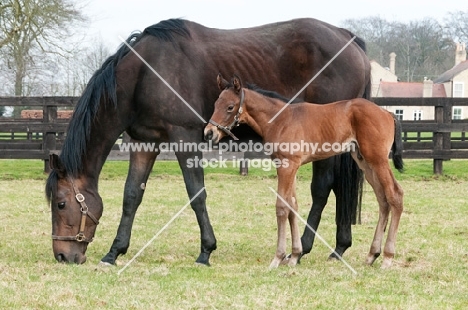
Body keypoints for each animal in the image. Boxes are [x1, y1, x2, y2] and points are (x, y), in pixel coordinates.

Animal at [206, 74, 406, 268]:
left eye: (230, 107)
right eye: (215, 104)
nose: (209, 133)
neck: (281, 120)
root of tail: (387, 113)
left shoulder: (287, 165)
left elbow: (281, 207)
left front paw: (278, 258)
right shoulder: (289, 166)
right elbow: (292, 205)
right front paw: (294, 256)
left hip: (378, 160)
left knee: (395, 194)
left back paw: (387, 258)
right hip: (364, 161)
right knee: (383, 199)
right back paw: (372, 255)